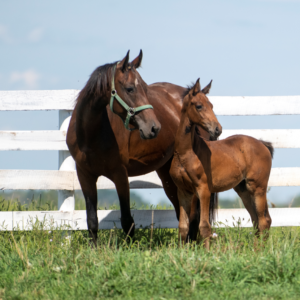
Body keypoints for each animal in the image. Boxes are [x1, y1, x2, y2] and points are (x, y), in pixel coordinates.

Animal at [67, 50, 214, 245]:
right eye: (130, 88)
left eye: (145, 89)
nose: (154, 127)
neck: (91, 135)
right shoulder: (85, 175)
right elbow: (92, 220)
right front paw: (93, 248)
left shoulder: (120, 175)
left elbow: (127, 220)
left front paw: (128, 248)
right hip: (168, 175)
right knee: (183, 212)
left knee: (194, 215)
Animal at [170, 78, 274, 248]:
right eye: (199, 106)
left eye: (211, 105)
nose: (217, 129)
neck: (186, 153)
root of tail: (262, 144)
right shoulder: (183, 191)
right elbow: (183, 227)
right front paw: (181, 252)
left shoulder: (204, 190)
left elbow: (204, 226)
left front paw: (206, 253)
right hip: (244, 190)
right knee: (257, 221)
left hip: (257, 188)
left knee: (263, 221)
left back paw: (260, 250)